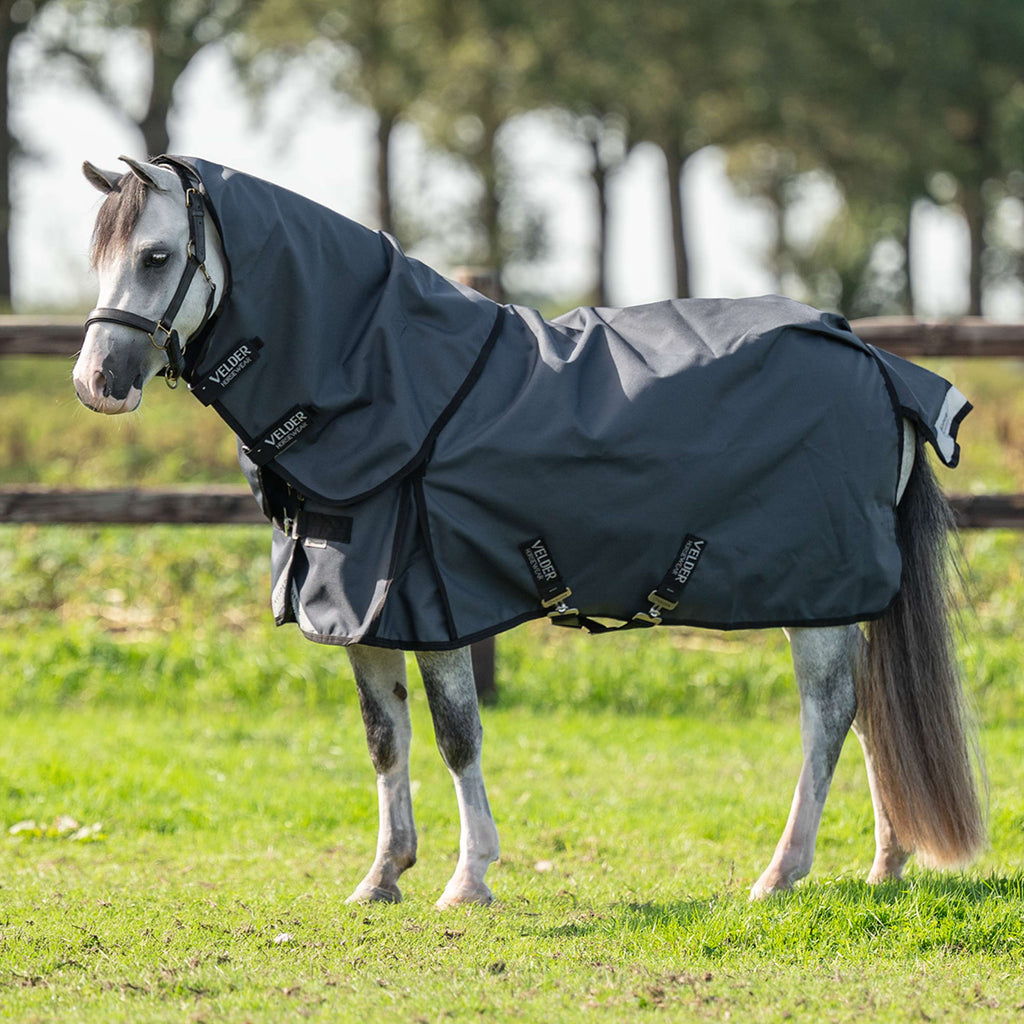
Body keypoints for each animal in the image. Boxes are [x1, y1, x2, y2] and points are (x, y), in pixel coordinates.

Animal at [72, 155, 984, 908]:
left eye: (156, 257)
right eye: (100, 259)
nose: (96, 384)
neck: (385, 379)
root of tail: (871, 357)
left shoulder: (435, 608)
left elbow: (455, 737)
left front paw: (468, 881)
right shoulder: (358, 613)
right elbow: (385, 741)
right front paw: (382, 877)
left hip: (816, 597)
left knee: (827, 718)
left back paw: (780, 875)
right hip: (835, 600)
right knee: (867, 717)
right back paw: (885, 866)